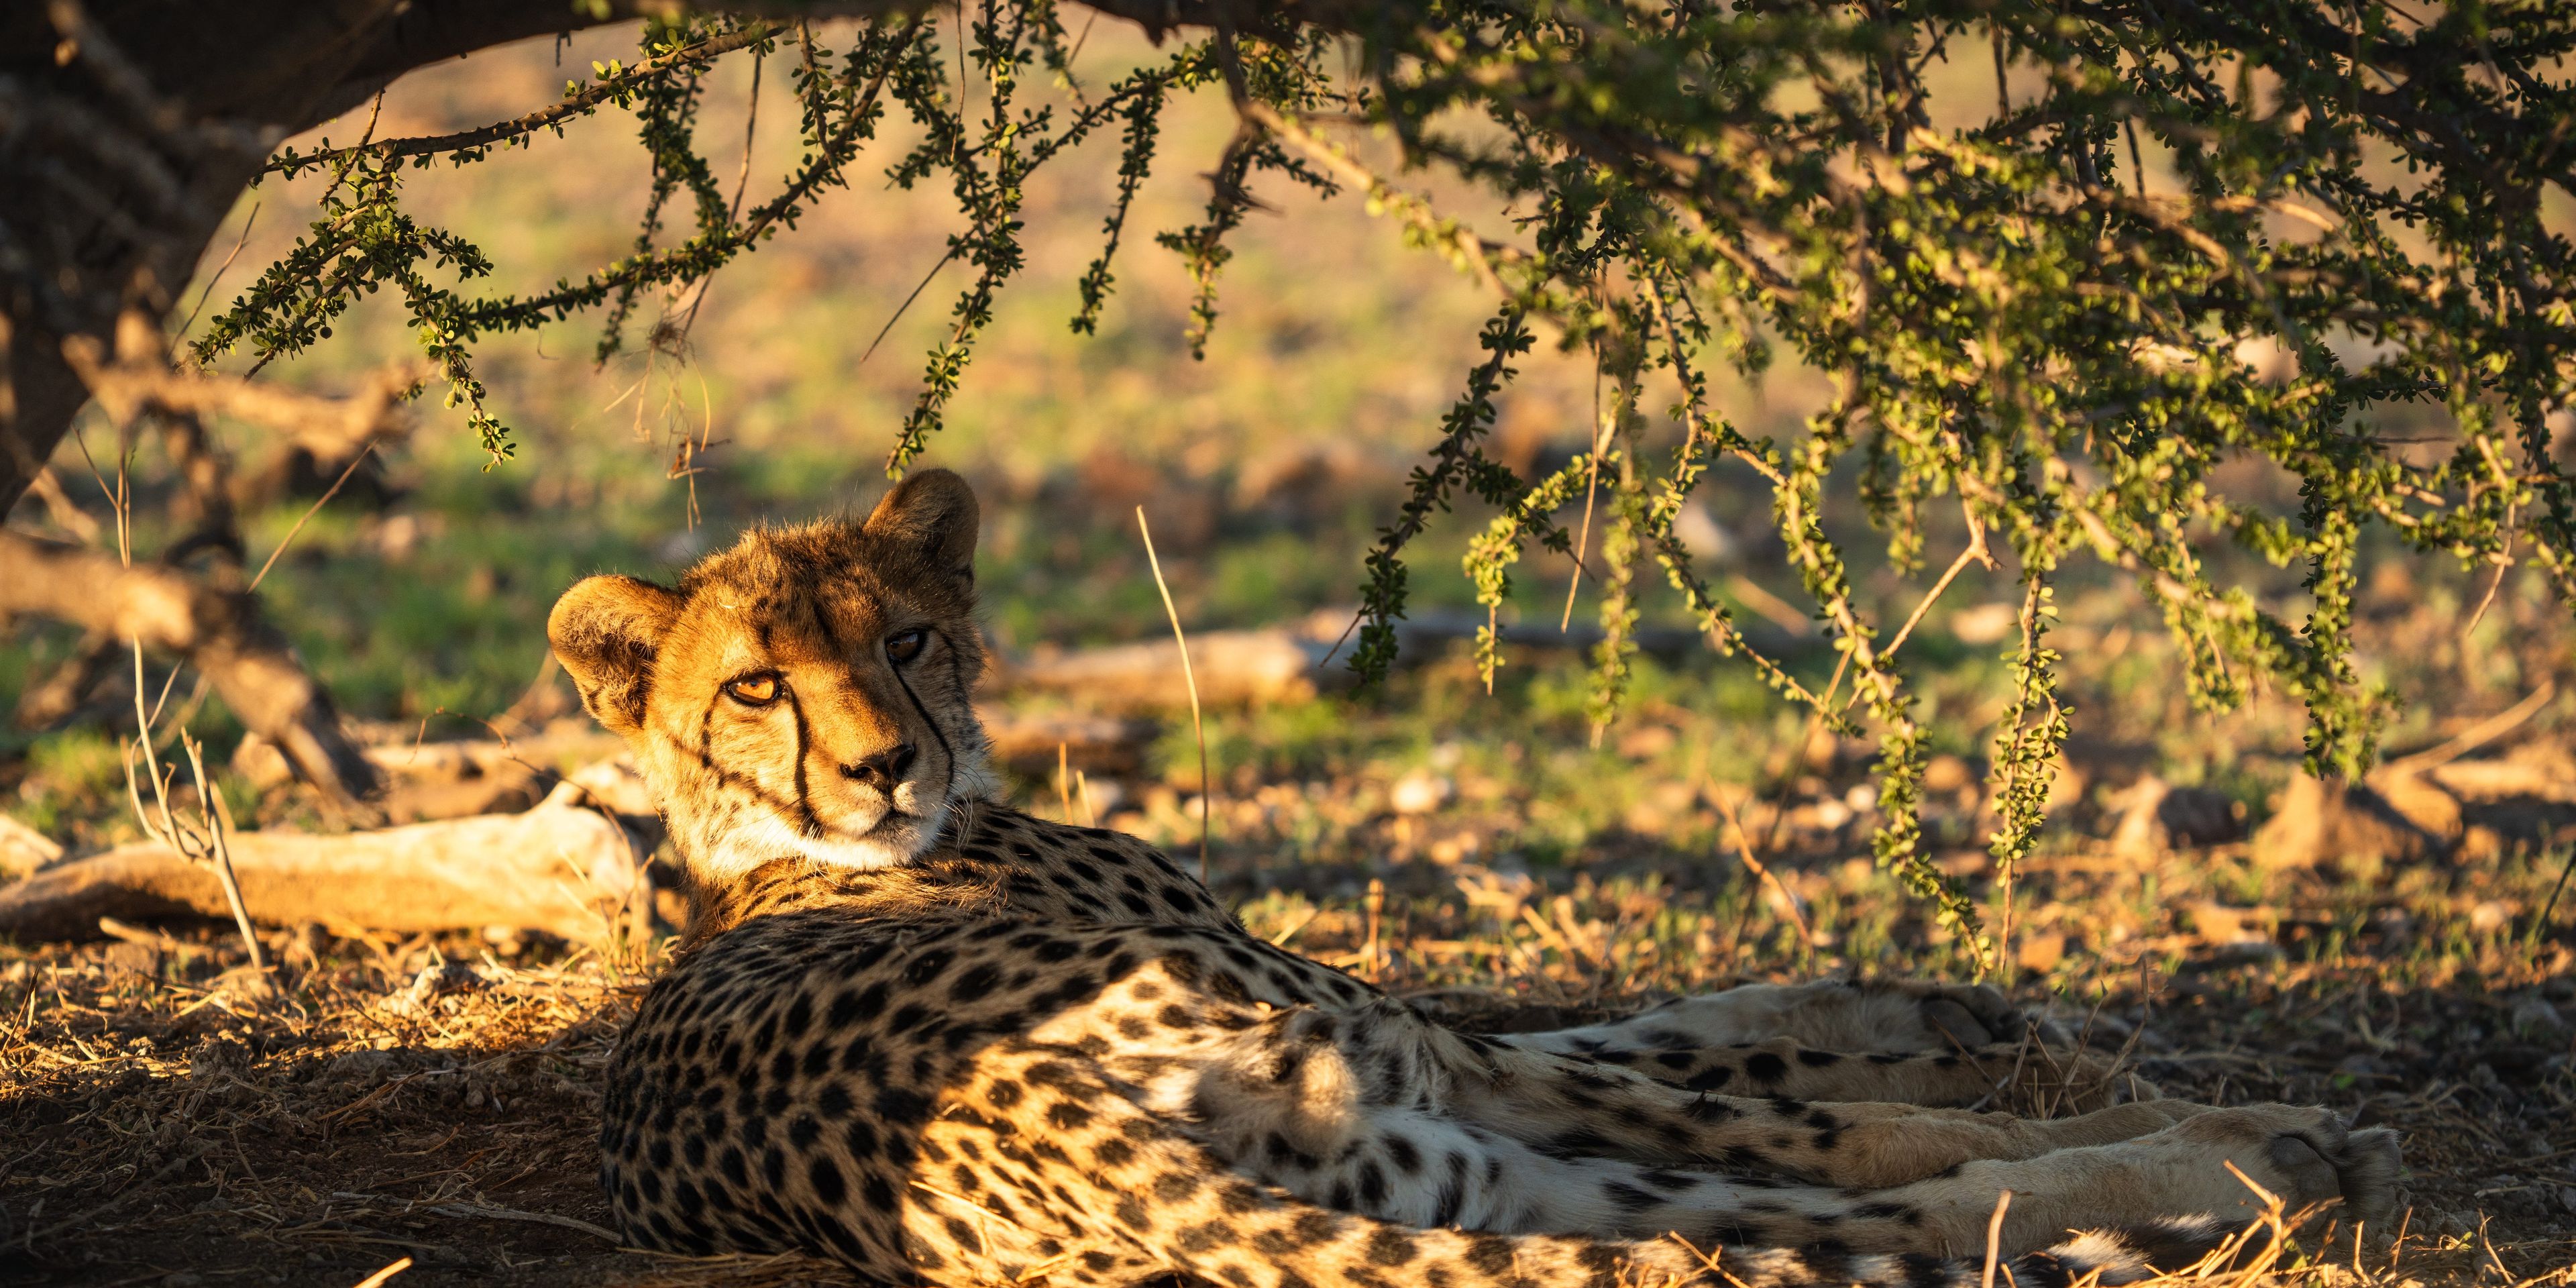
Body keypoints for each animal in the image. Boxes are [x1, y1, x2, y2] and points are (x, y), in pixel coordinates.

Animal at [550, 468, 2402, 1288]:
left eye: (907, 639)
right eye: (757, 685)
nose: (883, 769)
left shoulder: (1421, 1070)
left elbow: (1690, 1021)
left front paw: (1929, 1004)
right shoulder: (1404, 1035)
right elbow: (1791, 1085)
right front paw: (2028, 1072)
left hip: (1434, 1168)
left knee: (1766, 1231)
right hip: (1407, 1112)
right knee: (1880, 1192)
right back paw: (2251, 1154)